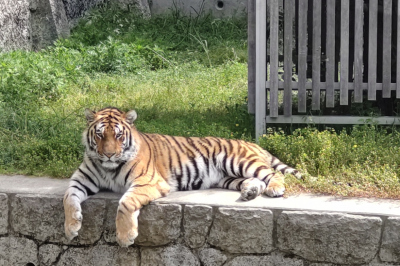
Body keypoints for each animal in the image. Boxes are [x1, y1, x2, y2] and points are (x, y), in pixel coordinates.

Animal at [63, 107, 300, 247]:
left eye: (119, 135)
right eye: (100, 135)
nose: (109, 154)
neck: (108, 167)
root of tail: (253, 143)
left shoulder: (148, 181)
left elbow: (125, 203)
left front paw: (124, 237)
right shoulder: (80, 180)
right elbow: (68, 198)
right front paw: (71, 227)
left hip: (239, 162)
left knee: (272, 174)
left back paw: (274, 188)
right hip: (227, 177)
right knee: (256, 180)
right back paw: (249, 192)